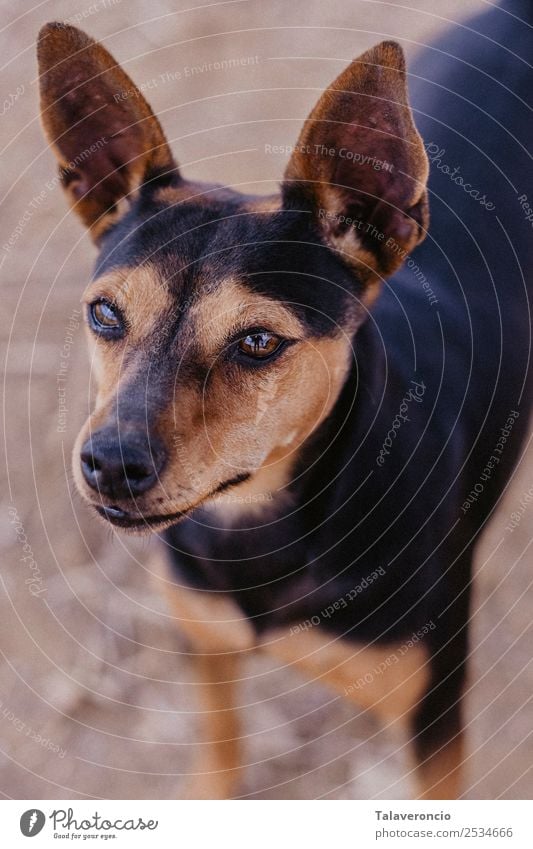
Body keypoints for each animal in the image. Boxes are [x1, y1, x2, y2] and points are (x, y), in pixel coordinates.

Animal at [36, 4, 528, 800]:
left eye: (258, 341)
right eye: (105, 314)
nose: (109, 464)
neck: (261, 520)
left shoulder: (433, 717)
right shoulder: (204, 641)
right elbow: (220, 746)